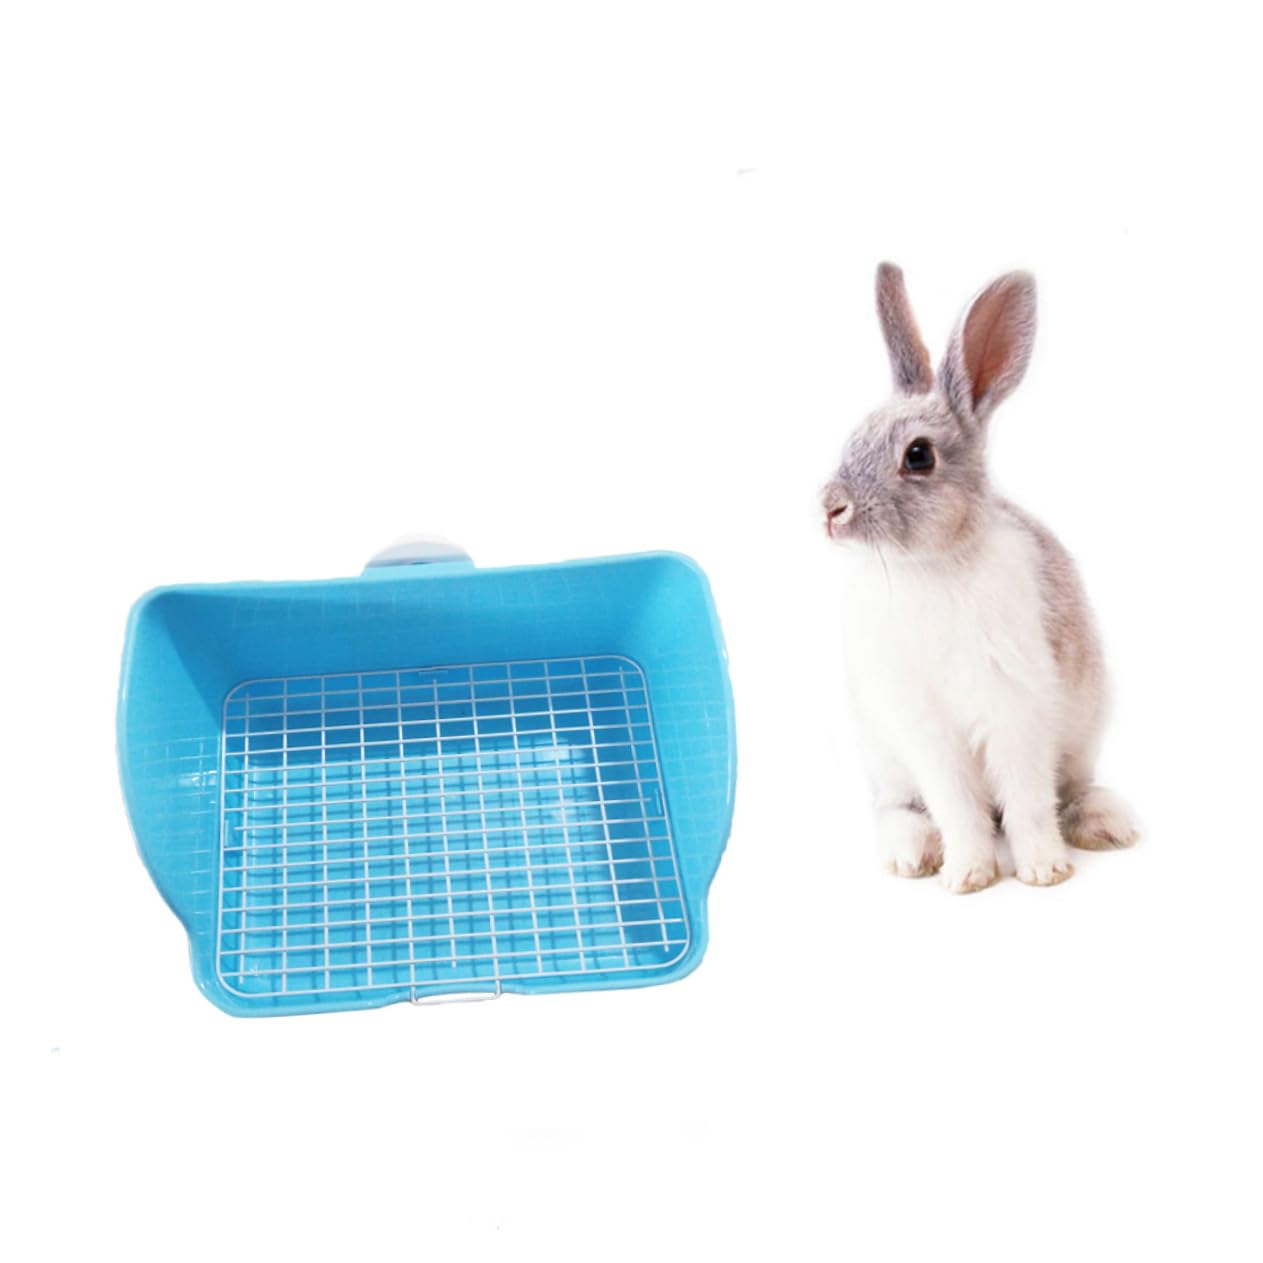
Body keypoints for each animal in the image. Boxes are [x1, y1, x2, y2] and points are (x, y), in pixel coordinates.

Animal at [821, 263, 1137, 892]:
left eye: (918, 455)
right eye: (853, 436)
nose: (829, 508)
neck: (931, 566)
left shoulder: (1016, 710)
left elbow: (1029, 799)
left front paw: (1044, 870)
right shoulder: (927, 730)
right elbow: (956, 806)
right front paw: (967, 875)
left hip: (1081, 740)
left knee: (1070, 791)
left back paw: (1106, 825)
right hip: (886, 760)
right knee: (898, 808)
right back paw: (912, 854)